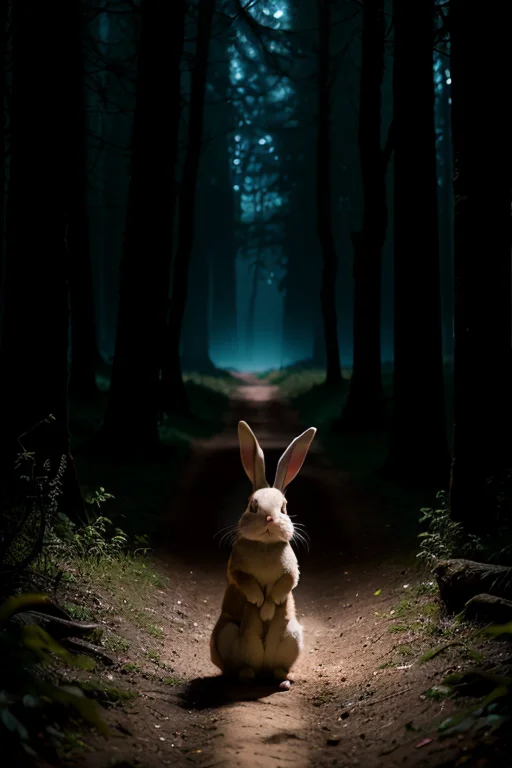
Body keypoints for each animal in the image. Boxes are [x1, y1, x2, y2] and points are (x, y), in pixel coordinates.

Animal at [210, 420, 316, 688]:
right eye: (252, 505)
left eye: (284, 508)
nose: (270, 519)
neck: (266, 546)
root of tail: (263, 668)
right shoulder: (235, 569)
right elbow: (246, 581)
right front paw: (258, 602)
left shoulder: (291, 571)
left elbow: (285, 584)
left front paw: (268, 609)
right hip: (230, 635)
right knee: (241, 667)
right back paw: (247, 676)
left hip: (293, 635)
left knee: (276, 668)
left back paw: (283, 679)